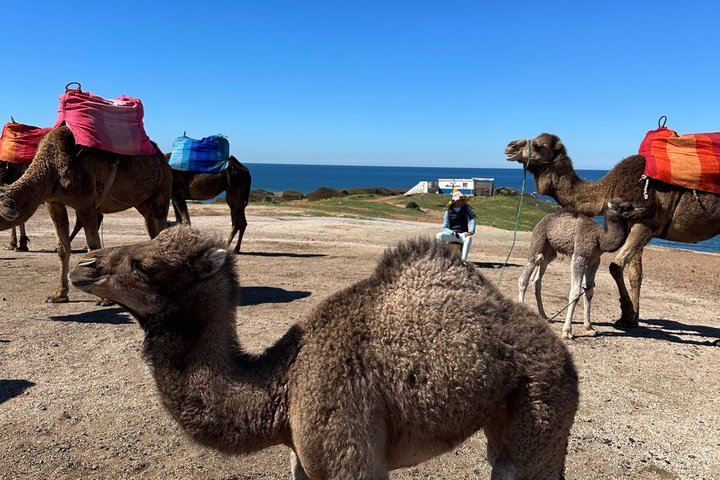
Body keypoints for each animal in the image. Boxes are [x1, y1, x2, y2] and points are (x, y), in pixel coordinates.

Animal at [0, 125, 172, 302]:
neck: (50, 167)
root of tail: (162, 157)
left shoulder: (86, 203)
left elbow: (94, 247)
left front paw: (104, 299)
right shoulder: (53, 202)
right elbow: (63, 248)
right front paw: (59, 294)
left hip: (163, 191)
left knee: (161, 221)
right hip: (142, 202)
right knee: (150, 227)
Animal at [69, 226, 579, 479]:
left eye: (146, 265)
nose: (82, 266)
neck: (282, 386)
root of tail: (557, 347)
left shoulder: (346, 449)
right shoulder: (303, 458)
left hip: (542, 399)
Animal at [518, 199, 645, 340]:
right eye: (627, 206)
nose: (642, 207)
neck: (599, 239)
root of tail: (544, 219)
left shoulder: (594, 260)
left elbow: (589, 292)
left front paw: (589, 328)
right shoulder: (580, 255)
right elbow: (575, 292)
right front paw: (567, 332)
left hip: (550, 251)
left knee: (537, 278)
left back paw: (544, 316)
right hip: (538, 239)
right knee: (525, 276)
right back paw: (523, 309)